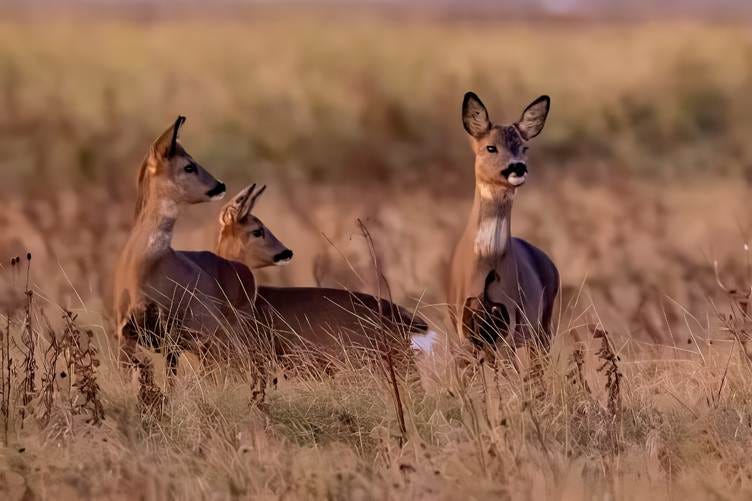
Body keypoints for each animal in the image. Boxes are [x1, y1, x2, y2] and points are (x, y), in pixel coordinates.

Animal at [448, 92, 559, 364]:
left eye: (524, 147)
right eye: (490, 147)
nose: (517, 167)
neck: (486, 261)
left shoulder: (510, 324)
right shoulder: (461, 329)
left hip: (542, 326)